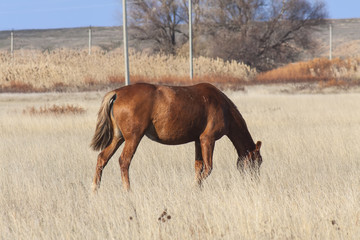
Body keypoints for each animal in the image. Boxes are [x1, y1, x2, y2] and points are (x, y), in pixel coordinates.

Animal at [91, 82, 262, 191]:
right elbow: (208, 168)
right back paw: (128, 191)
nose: (255, 182)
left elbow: (198, 167)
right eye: (257, 162)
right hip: (133, 138)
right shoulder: (208, 139)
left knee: (102, 158)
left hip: (118, 138)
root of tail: (117, 93)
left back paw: (95, 190)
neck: (223, 107)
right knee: (124, 161)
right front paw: (193, 188)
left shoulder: (198, 141)